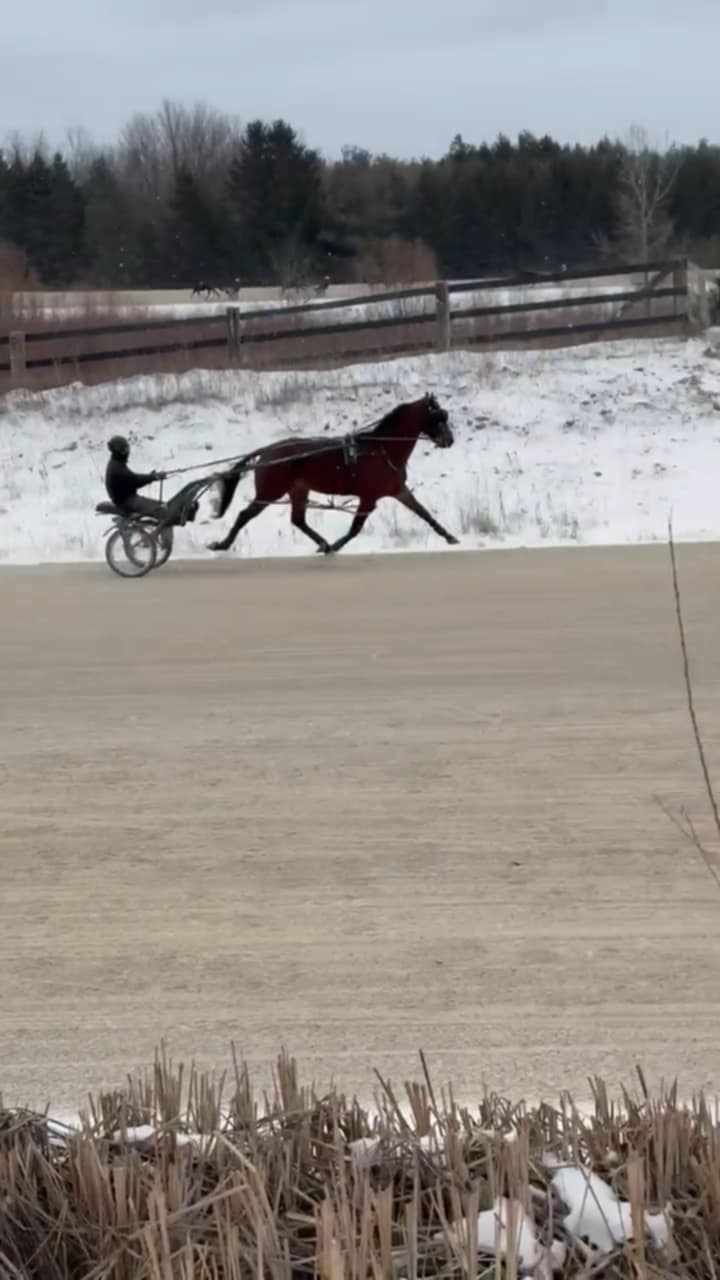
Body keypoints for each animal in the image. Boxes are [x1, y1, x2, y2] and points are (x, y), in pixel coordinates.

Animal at [204, 386, 456, 552]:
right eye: (437, 417)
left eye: (444, 415)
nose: (449, 440)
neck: (382, 449)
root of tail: (268, 450)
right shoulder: (368, 498)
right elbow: (355, 529)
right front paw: (336, 545)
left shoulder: (398, 490)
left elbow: (424, 513)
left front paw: (450, 536)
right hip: (270, 491)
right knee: (245, 515)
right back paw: (223, 544)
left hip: (298, 489)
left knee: (298, 521)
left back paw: (322, 543)